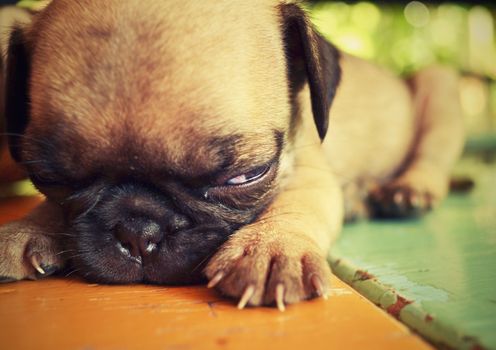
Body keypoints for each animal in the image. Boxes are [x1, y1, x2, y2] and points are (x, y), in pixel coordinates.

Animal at [0, 1, 464, 310]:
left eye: (244, 176)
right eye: (53, 180)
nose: (137, 232)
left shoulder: (309, 173)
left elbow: (295, 205)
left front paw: (272, 247)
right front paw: (26, 227)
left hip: (439, 87)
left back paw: (407, 191)